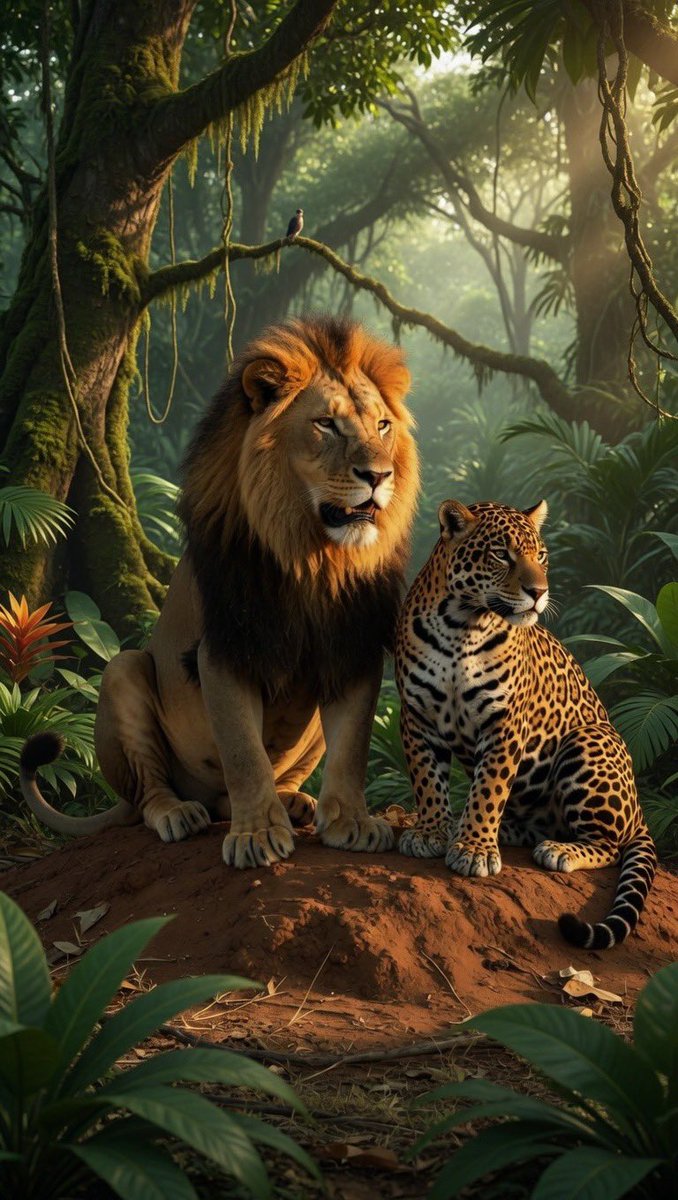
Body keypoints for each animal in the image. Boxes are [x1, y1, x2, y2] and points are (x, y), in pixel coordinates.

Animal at [395, 497, 656, 949]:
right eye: (502, 554)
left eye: (543, 557)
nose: (539, 592)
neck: (461, 625)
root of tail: (640, 810)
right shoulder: (417, 716)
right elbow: (428, 781)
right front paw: (431, 831)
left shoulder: (504, 723)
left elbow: (488, 789)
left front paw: (474, 850)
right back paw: (501, 830)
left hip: (588, 740)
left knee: (611, 844)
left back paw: (560, 850)